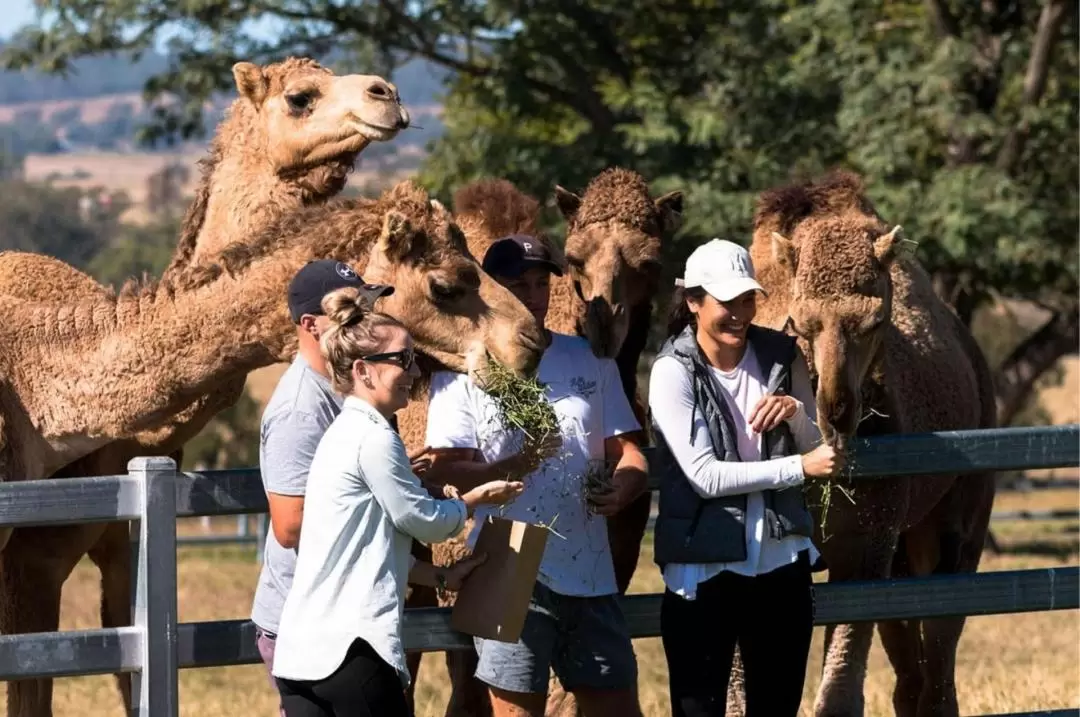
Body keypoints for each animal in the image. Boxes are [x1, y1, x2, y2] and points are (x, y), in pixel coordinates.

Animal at [721, 169, 997, 717]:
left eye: (876, 322)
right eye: (800, 322)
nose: (838, 411)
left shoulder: (867, 544)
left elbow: (841, 693)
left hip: (959, 522)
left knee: (939, 652)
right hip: (904, 550)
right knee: (912, 673)